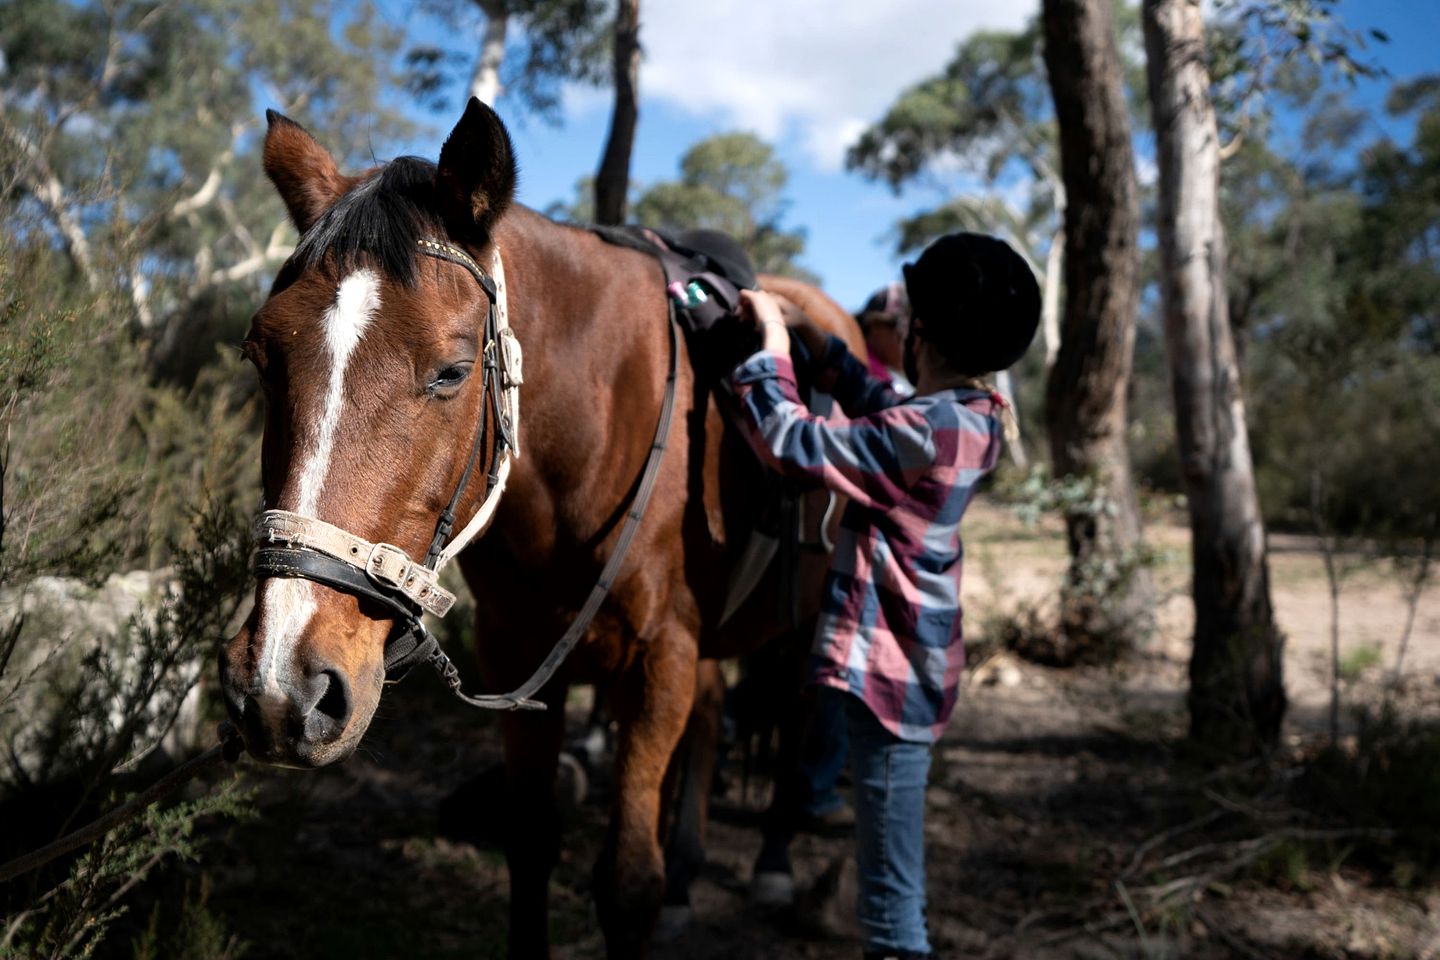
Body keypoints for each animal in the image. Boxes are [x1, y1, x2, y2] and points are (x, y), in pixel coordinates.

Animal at [217, 99, 858, 960]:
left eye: (452, 372)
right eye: (260, 355)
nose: (282, 686)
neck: (591, 433)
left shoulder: (660, 658)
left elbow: (628, 884)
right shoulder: (520, 654)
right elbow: (529, 841)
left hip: (803, 621)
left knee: (791, 721)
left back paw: (775, 864)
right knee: (714, 717)